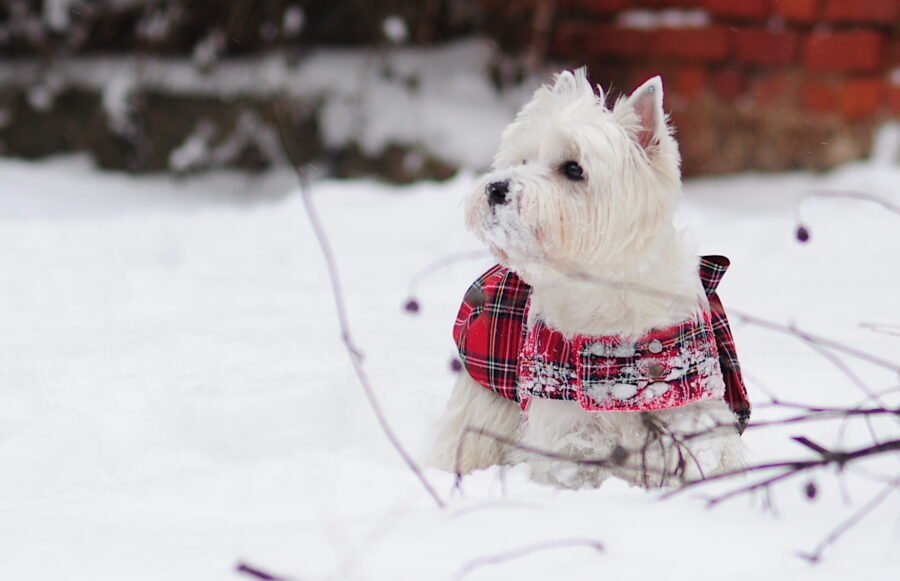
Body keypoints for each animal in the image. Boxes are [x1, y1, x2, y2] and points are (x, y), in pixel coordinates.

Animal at [428, 70, 744, 488]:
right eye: (523, 159)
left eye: (574, 169)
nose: (496, 188)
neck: (607, 299)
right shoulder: (569, 428)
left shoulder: (687, 404)